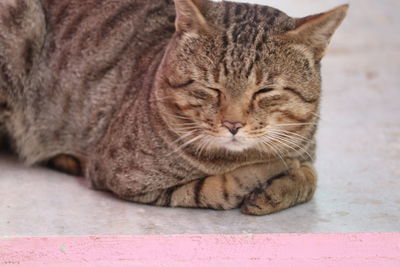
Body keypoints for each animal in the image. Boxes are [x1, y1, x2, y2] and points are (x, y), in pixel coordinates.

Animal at [0, 0, 346, 216]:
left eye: (265, 91)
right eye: (210, 87)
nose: (233, 124)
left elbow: (311, 175)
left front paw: (283, 184)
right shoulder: (126, 176)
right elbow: (217, 187)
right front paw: (269, 172)